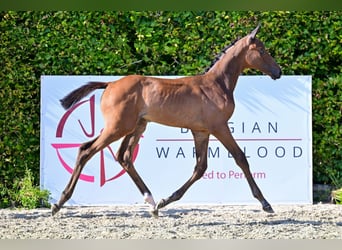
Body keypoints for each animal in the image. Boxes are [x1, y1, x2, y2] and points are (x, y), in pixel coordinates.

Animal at [51, 24, 280, 216]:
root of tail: (110, 84)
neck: (216, 85)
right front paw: (265, 203)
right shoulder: (219, 127)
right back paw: (59, 203)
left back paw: (152, 203)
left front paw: (165, 201)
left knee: (123, 157)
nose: (278, 72)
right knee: (87, 150)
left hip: (135, 127)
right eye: (261, 50)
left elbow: (200, 167)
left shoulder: (201, 131)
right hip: (117, 127)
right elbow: (240, 158)